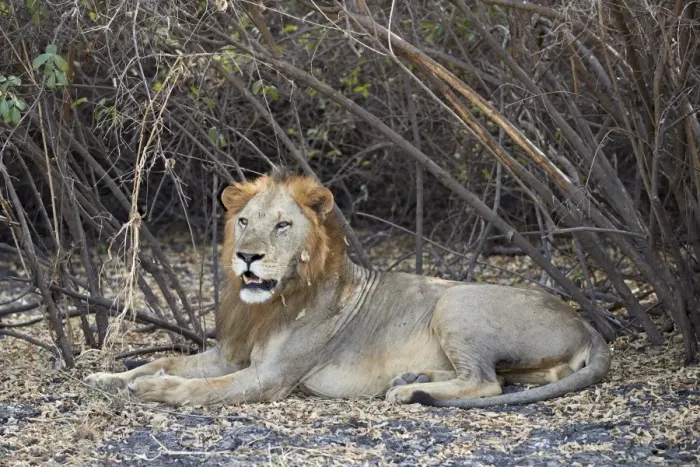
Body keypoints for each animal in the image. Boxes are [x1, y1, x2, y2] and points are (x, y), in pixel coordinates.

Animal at [86, 172, 611, 408]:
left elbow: (200, 386)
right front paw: (107, 377)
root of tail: (585, 321)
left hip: (456, 302)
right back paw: (412, 378)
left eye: (282, 225)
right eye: (244, 221)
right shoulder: (230, 354)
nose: (247, 256)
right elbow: (160, 361)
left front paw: (152, 388)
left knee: (487, 381)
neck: (270, 304)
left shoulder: (271, 378)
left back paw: (408, 392)